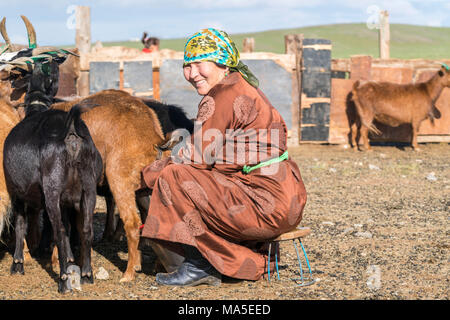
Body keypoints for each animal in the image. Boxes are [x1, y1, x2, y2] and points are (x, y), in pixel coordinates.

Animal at [3, 60, 102, 292]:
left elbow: (20, 224)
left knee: (59, 230)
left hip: (52, 189)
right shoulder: (67, 201)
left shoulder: (16, 191)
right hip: (88, 188)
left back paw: (63, 280)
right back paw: (87, 274)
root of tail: (72, 131)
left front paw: (17, 264)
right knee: (85, 229)